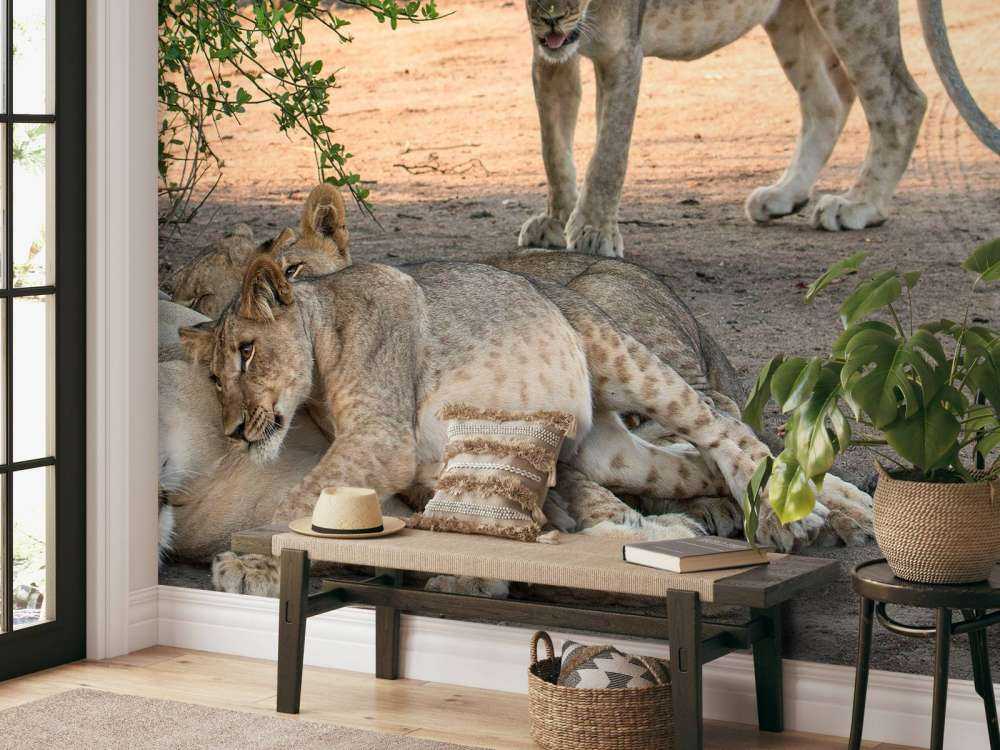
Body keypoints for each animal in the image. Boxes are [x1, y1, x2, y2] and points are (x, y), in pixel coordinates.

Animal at [519, 0, 932, 256]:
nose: (551, 17)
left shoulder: (622, 51)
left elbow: (608, 156)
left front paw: (593, 232)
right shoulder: (549, 55)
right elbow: (554, 149)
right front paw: (556, 221)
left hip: (852, 12)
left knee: (902, 100)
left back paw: (860, 205)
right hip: (788, 17)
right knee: (826, 100)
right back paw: (785, 194)